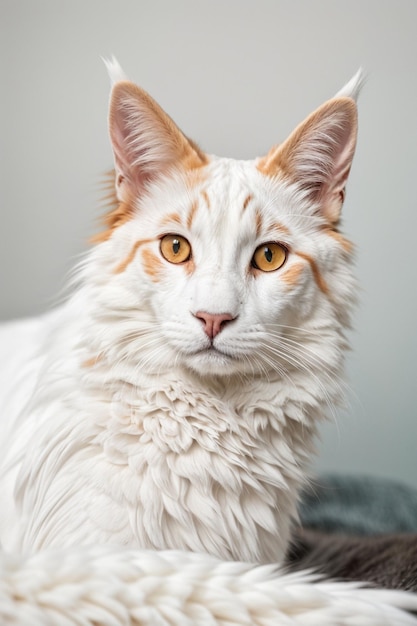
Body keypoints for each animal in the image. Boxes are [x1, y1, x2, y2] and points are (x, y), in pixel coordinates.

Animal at [0, 59, 416, 624]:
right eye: (176, 248)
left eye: (269, 257)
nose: (214, 318)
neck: (211, 424)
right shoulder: (88, 568)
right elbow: (250, 596)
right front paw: (375, 607)